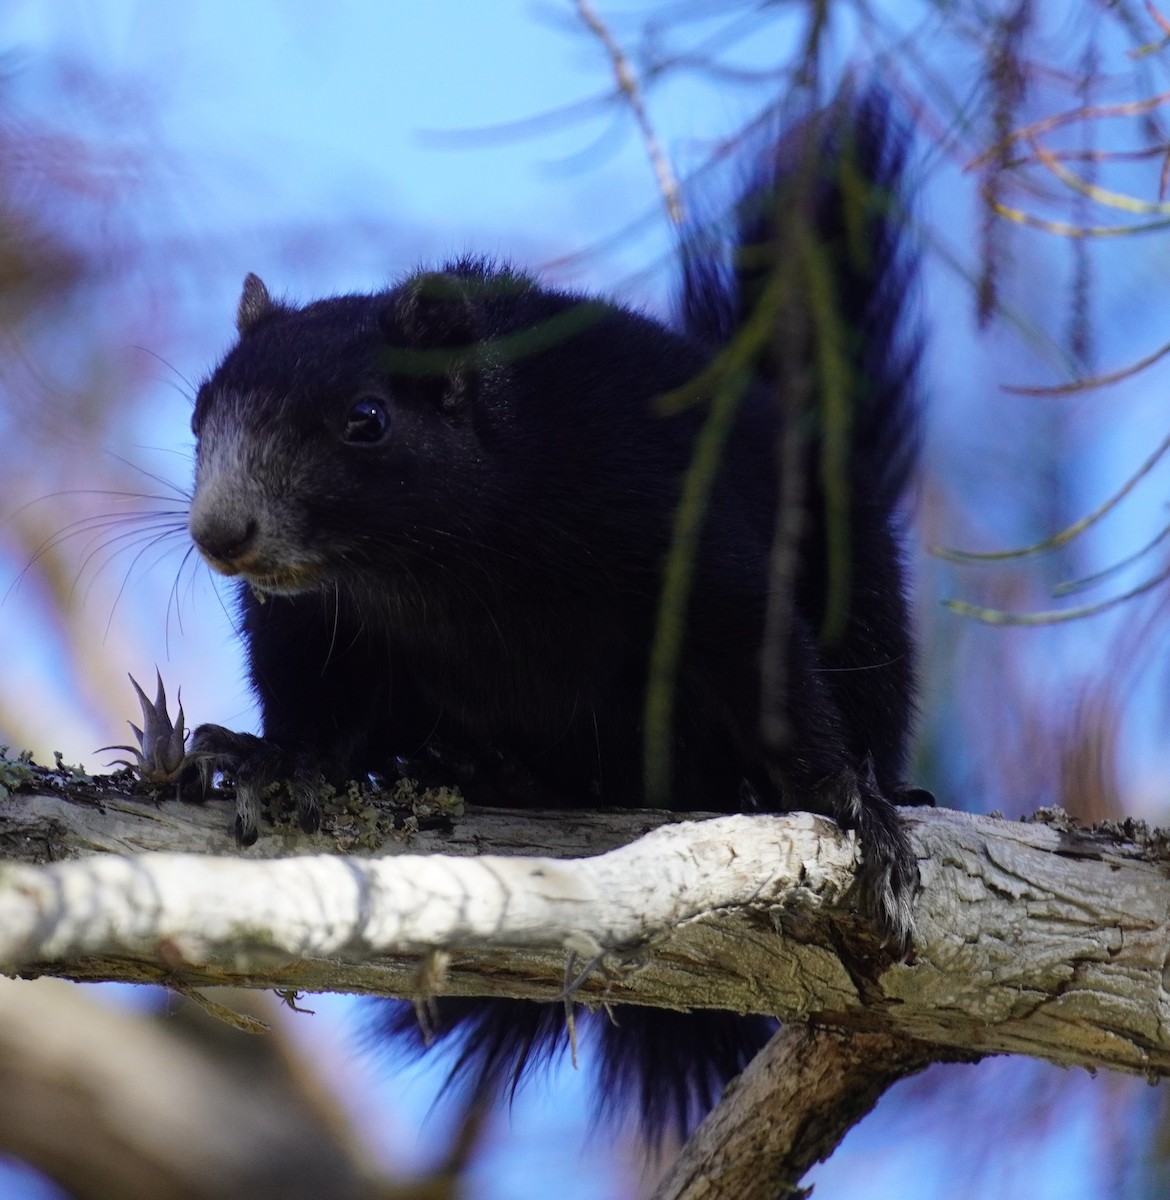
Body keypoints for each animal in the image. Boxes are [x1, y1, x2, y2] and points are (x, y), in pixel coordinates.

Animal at [183, 88, 932, 1139]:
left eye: (367, 419)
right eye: (197, 417)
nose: (221, 535)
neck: (433, 570)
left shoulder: (669, 521)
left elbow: (759, 654)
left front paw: (854, 806)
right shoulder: (310, 622)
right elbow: (312, 702)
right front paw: (275, 762)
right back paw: (470, 765)